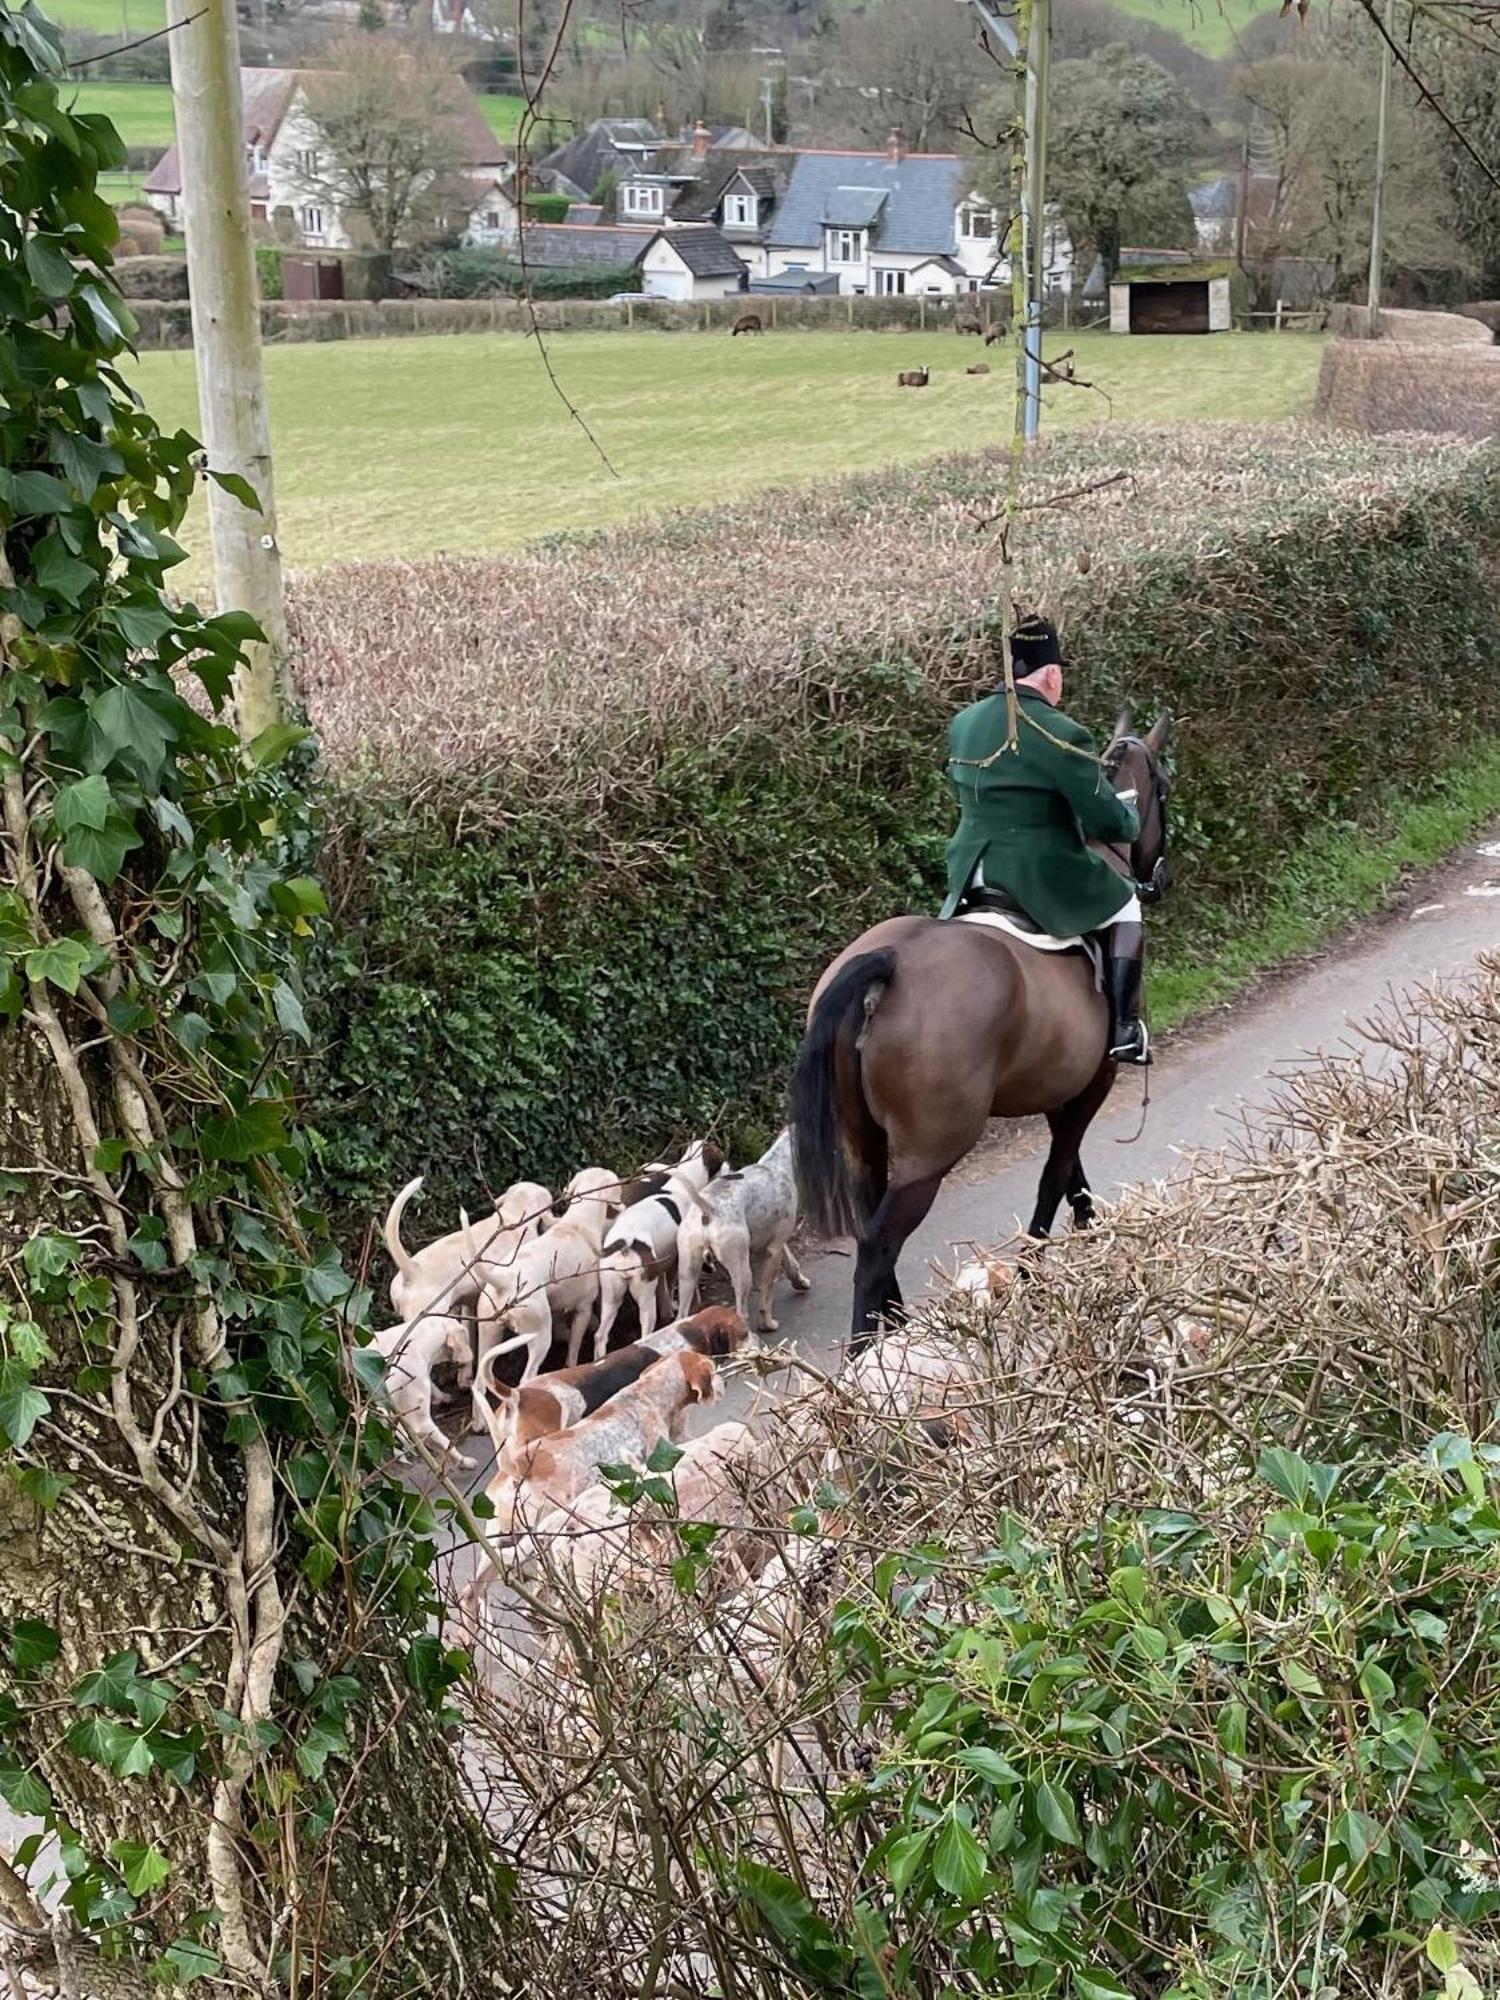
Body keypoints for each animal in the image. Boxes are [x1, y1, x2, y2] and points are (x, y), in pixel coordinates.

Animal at [788, 712, 1176, 1352]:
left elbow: (1072, 1175)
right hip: (930, 1152)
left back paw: (897, 1329)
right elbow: (1055, 1177)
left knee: (873, 1229)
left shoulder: (1059, 1089)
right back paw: (872, 1355)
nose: (1159, 878)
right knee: (877, 1244)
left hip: (864, 1140)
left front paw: (1089, 1243)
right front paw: (1034, 1273)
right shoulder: (1093, 1082)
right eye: (1164, 791)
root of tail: (889, 963)